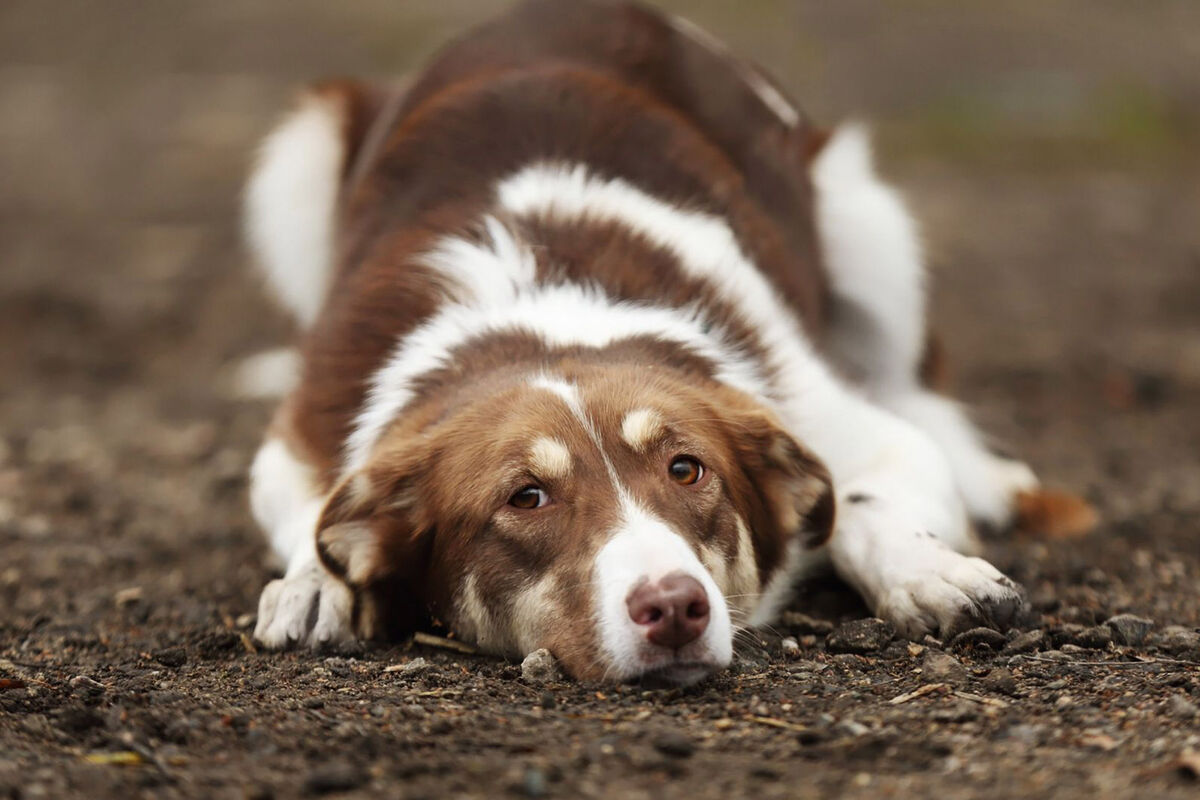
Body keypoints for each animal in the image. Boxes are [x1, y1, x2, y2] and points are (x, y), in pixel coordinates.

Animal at [246, 1, 1051, 690]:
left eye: (687, 469)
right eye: (526, 497)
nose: (673, 607)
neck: (552, 310)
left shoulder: (833, 416)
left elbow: (867, 499)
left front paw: (930, 570)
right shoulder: (299, 440)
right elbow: (314, 514)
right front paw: (314, 584)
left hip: (867, 223)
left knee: (913, 380)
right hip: (300, 155)